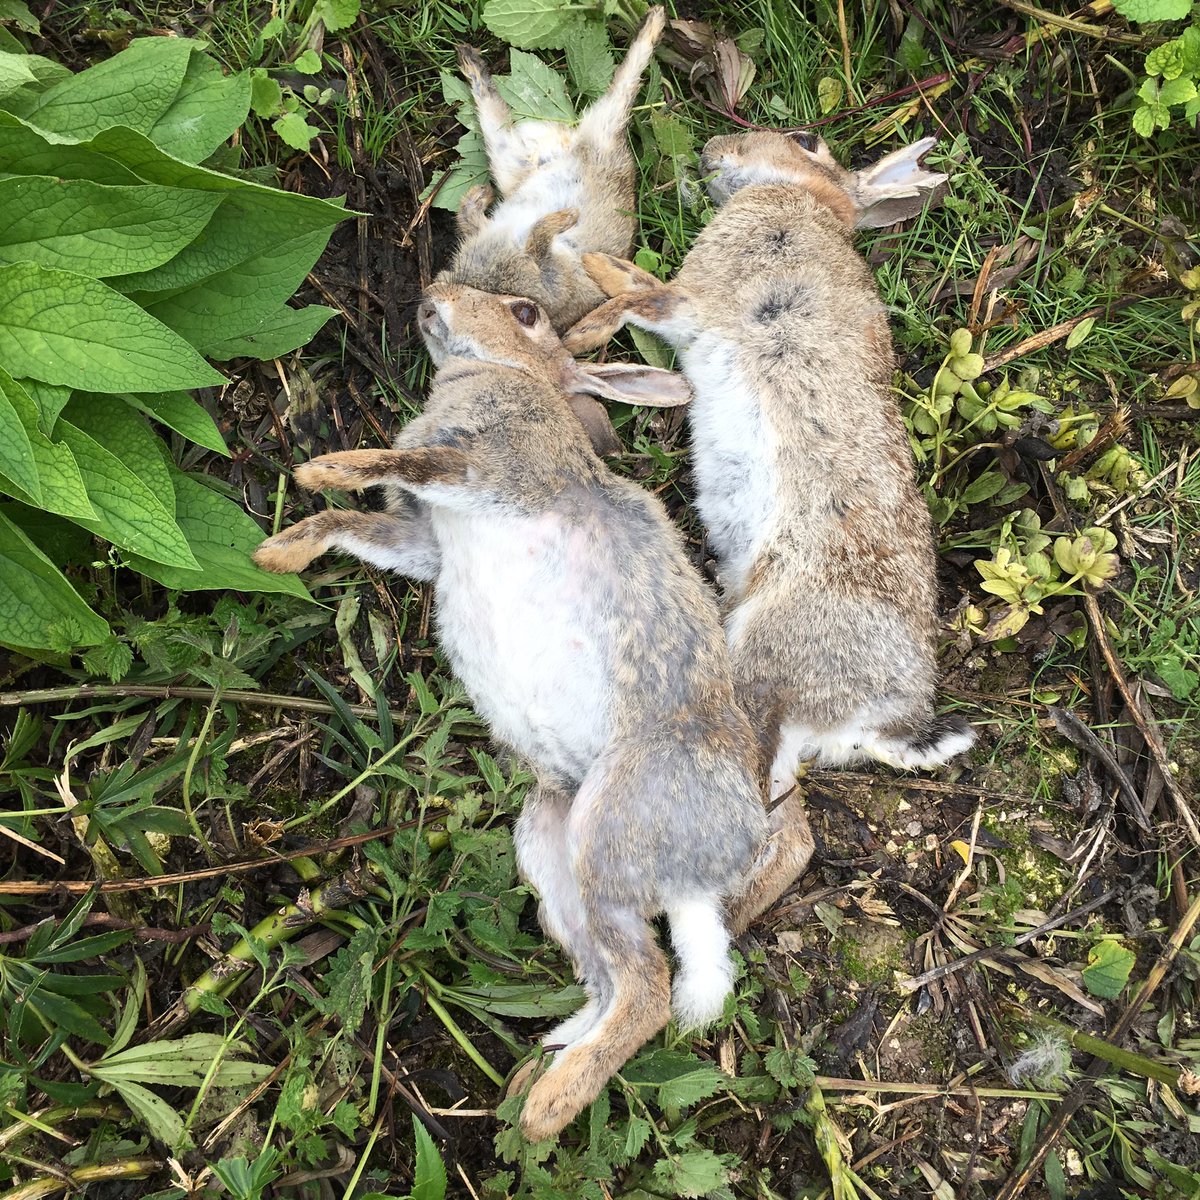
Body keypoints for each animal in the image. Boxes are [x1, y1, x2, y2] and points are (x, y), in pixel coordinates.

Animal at [253, 282, 799, 1142]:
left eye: (526, 313)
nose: (434, 294)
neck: (507, 377)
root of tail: (708, 871)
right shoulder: (425, 538)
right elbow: (361, 529)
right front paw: (278, 552)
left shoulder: (496, 469)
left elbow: (414, 461)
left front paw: (323, 469)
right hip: (549, 851)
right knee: (609, 981)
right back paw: (529, 1082)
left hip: (609, 830)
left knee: (646, 990)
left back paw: (547, 1108)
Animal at [441, 6, 665, 332]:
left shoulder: (552, 277)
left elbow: (539, 240)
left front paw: (565, 218)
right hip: (518, 159)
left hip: (592, 135)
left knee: (625, 83)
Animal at [563, 131, 975, 884]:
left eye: (807, 141)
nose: (712, 150)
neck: (808, 200)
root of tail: (881, 718)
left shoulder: (699, 299)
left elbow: (639, 295)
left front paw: (586, 308)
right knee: (790, 836)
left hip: (763, 657)